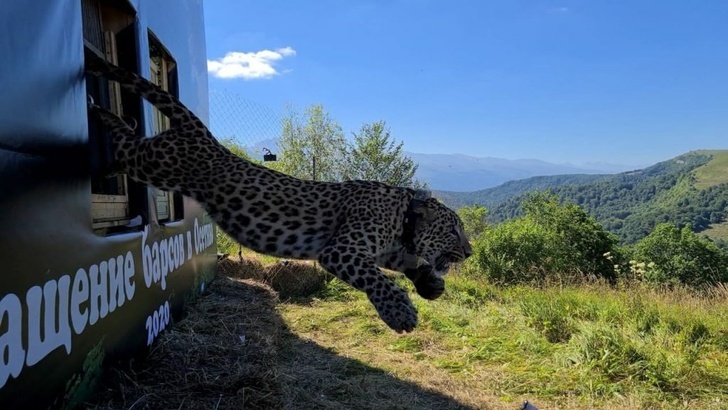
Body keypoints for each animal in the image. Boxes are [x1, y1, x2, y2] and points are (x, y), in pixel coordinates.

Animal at [84, 49, 472, 334]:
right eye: (454, 230)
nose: (468, 252)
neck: (403, 218)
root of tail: (202, 134)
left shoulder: (384, 251)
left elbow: (406, 264)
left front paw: (430, 285)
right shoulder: (341, 251)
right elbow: (376, 279)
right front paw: (400, 312)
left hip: (153, 161)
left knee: (126, 146)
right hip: (155, 164)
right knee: (125, 144)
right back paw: (98, 109)